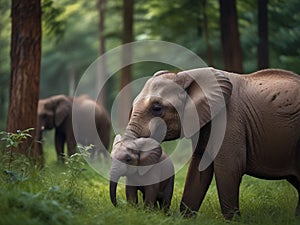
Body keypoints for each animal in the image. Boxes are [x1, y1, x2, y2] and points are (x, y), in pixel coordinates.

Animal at [120, 67, 300, 220]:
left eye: (156, 108)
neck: (185, 75)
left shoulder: (229, 119)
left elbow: (228, 167)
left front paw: (233, 221)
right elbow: (199, 166)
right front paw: (185, 219)